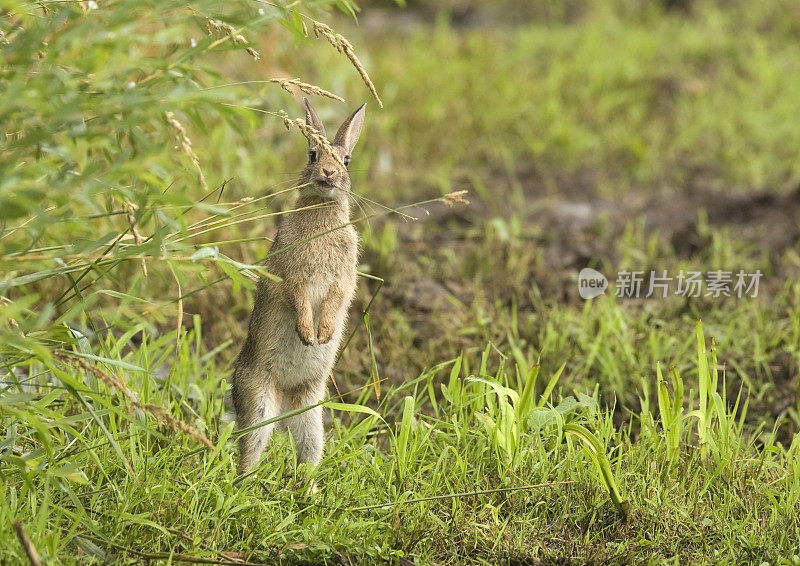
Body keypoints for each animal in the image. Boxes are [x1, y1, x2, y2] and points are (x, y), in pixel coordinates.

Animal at [230, 98, 368, 480]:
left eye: (346, 160)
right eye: (312, 155)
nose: (329, 174)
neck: (320, 209)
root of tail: (285, 402)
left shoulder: (342, 278)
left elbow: (336, 299)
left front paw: (324, 334)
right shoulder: (293, 278)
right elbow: (300, 299)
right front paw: (309, 334)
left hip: (310, 415)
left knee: (307, 452)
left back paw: (309, 488)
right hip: (259, 401)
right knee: (250, 448)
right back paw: (245, 485)